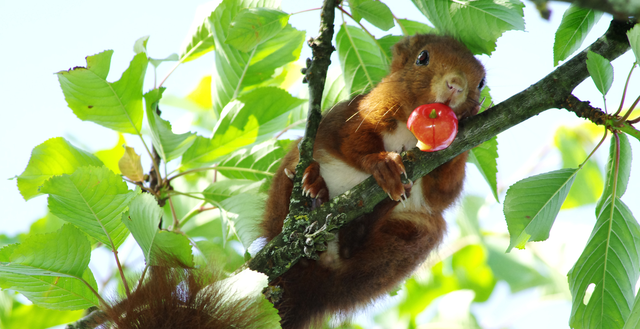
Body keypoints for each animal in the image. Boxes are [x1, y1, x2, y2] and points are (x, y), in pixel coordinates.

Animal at [260, 34, 484, 328]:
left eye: (481, 82)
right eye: (422, 57)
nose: (456, 84)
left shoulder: (441, 183)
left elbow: (443, 192)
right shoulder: (364, 110)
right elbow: (353, 141)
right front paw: (382, 163)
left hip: (417, 234)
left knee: (354, 250)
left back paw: (360, 226)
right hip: (290, 175)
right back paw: (312, 188)